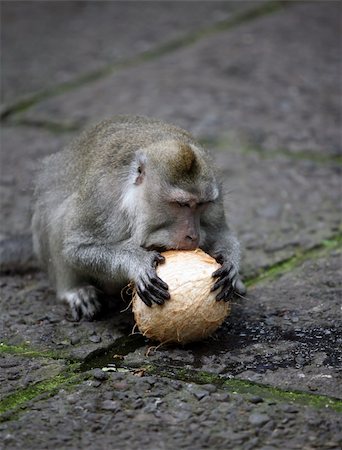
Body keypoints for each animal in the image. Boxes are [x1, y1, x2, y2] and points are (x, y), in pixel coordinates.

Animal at [29, 116, 244, 320]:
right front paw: (137, 261)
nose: (193, 235)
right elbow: (76, 249)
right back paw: (74, 290)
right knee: (57, 214)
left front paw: (230, 262)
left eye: (201, 204)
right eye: (181, 204)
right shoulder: (102, 200)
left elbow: (218, 233)